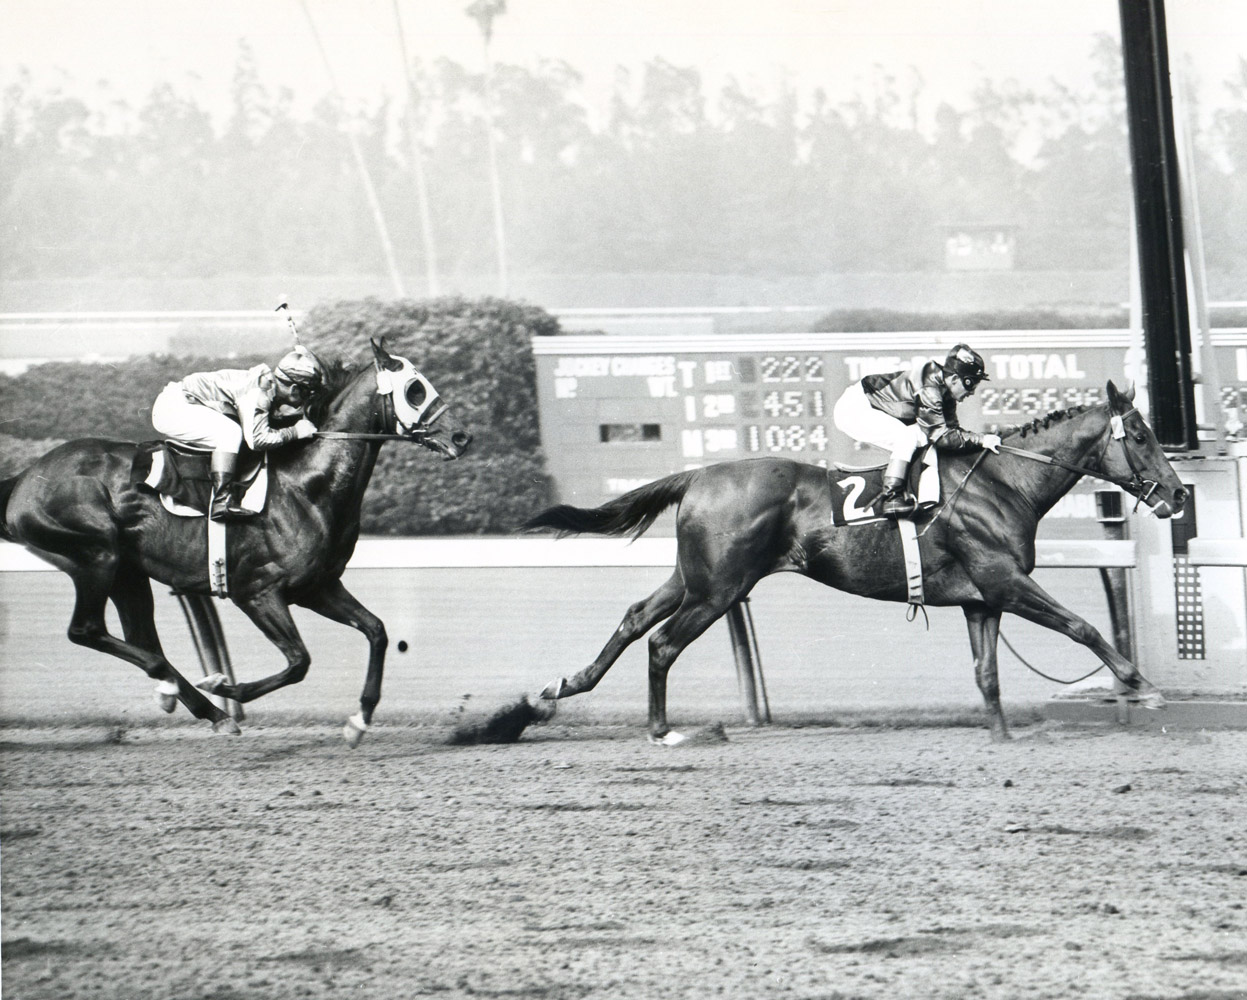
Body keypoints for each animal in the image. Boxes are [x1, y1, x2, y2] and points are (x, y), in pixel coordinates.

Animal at [1, 339, 468, 743]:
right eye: (415, 388)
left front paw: (359, 720)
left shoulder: (317, 587)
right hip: (95, 556)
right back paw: (191, 695)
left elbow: (377, 631)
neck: (305, 485)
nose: (462, 437)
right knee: (87, 629)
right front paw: (228, 688)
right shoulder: (257, 591)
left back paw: (194, 702)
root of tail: (24, 478)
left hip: (127, 570)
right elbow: (299, 662)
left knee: (140, 636)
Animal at [523, 381, 1187, 738]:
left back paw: (563, 686)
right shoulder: (1005, 581)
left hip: (696, 576)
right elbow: (1082, 626)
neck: (1003, 482)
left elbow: (988, 673)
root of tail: (698, 474)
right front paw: (1142, 684)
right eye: (1143, 436)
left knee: (636, 617)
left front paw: (1001, 736)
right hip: (719, 588)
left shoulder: (981, 601)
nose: (1180, 495)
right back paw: (662, 729)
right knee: (662, 643)